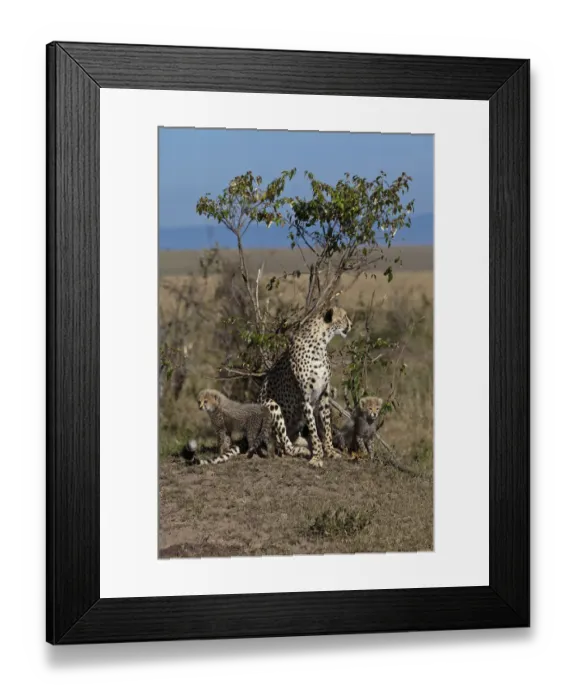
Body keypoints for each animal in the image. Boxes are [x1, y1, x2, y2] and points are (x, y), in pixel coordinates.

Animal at [258, 306, 352, 468]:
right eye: (345, 316)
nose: (351, 324)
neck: (321, 342)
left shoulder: (323, 396)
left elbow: (326, 427)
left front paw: (330, 451)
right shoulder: (305, 399)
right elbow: (314, 431)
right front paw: (317, 457)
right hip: (270, 405)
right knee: (284, 444)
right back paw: (302, 451)